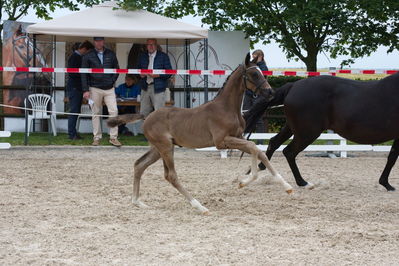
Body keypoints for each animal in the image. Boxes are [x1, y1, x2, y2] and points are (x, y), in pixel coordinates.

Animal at [108, 53, 292, 214]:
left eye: (261, 72)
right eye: (254, 74)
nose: (270, 92)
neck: (226, 108)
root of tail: (147, 116)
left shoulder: (237, 137)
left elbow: (259, 151)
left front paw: (286, 186)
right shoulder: (221, 141)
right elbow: (253, 146)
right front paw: (246, 180)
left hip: (157, 149)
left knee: (139, 165)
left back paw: (138, 202)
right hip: (165, 147)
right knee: (171, 175)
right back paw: (199, 207)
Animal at [244, 72, 399, 191]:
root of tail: (293, 86)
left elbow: (392, 156)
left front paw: (385, 183)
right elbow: (392, 158)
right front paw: (387, 184)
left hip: (294, 128)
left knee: (274, 142)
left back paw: (259, 168)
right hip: (307, 133)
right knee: (289, 151)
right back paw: (303, 182)